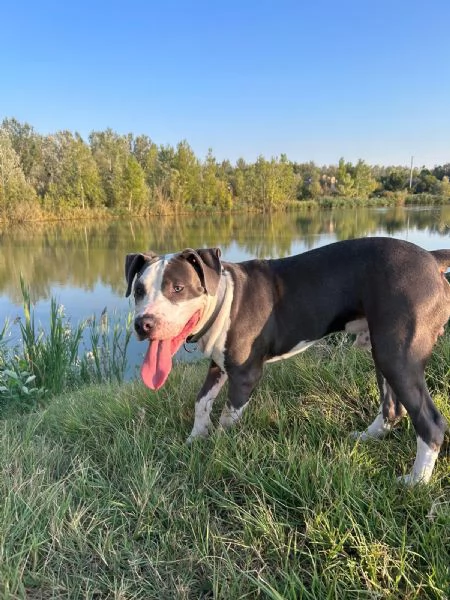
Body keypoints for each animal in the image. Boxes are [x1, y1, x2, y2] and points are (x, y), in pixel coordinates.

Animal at [124, 237, 450, 486]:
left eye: (177, 288)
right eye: (138, 291)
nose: (143, 324)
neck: (223, 299)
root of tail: (431, 258)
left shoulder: (245, 374)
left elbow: (227, 417)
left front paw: (217, 447)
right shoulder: (219, 365)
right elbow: (201, 402)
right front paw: (195, 438)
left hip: (398, 356)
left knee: (430, 421)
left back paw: (416, 482)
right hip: (383, 352)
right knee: (392, 407)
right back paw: (368, 437)